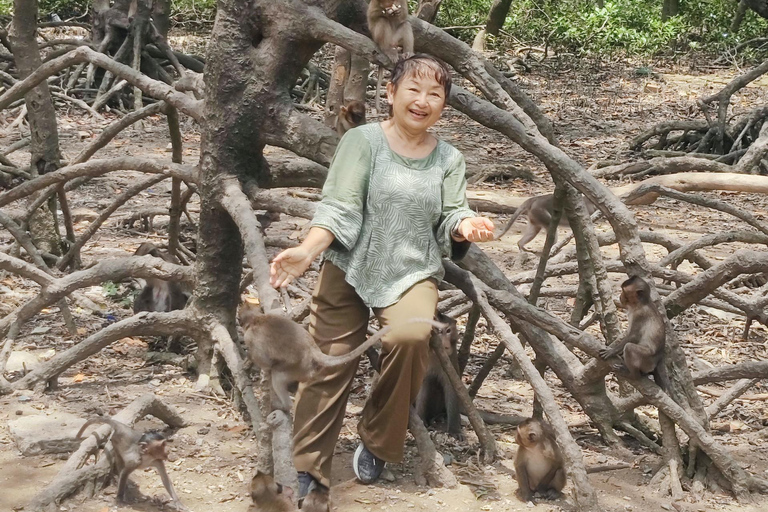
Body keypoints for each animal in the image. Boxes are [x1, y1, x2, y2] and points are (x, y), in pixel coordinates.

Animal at [240, 302, 444, 410]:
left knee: (278, 376)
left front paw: (254, 366)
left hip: (296, 367)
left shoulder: (251, 338)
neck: (256, 319)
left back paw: (284, 406)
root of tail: (313, 350)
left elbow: (262, 360)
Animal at [414, 312, 462, 440]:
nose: (445, 346)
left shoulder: (450, 359)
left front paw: (454, 430)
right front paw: (420, 420)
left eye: (449, 330)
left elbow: (452, 387)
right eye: (439, 331)